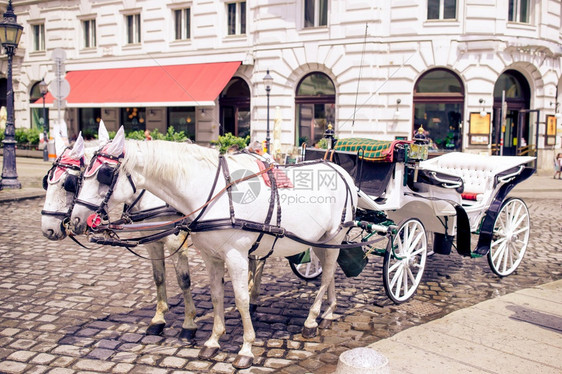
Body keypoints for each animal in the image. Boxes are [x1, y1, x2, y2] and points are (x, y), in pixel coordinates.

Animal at [41, 125, 197, 338]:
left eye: (69, 183)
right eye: (46, 182)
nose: (47, 229)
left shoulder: (176, 241)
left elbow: (184, 280)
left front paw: (189, 323)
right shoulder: (152, 242)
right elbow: (159, 277)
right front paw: (158, 319)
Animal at [70, 127, 356, 370]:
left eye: (104, 174)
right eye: (80, 176)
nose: (74, 220)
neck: (212, 193)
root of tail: (338, 169)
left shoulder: (236, 256)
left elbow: (241, 300)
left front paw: (246, 349)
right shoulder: (211, 257)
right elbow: (217, 295)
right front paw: (213, 341)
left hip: (336, 234)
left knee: (326, 276)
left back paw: (311, 320)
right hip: (321, 240)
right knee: (329, 273)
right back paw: (328, 313)